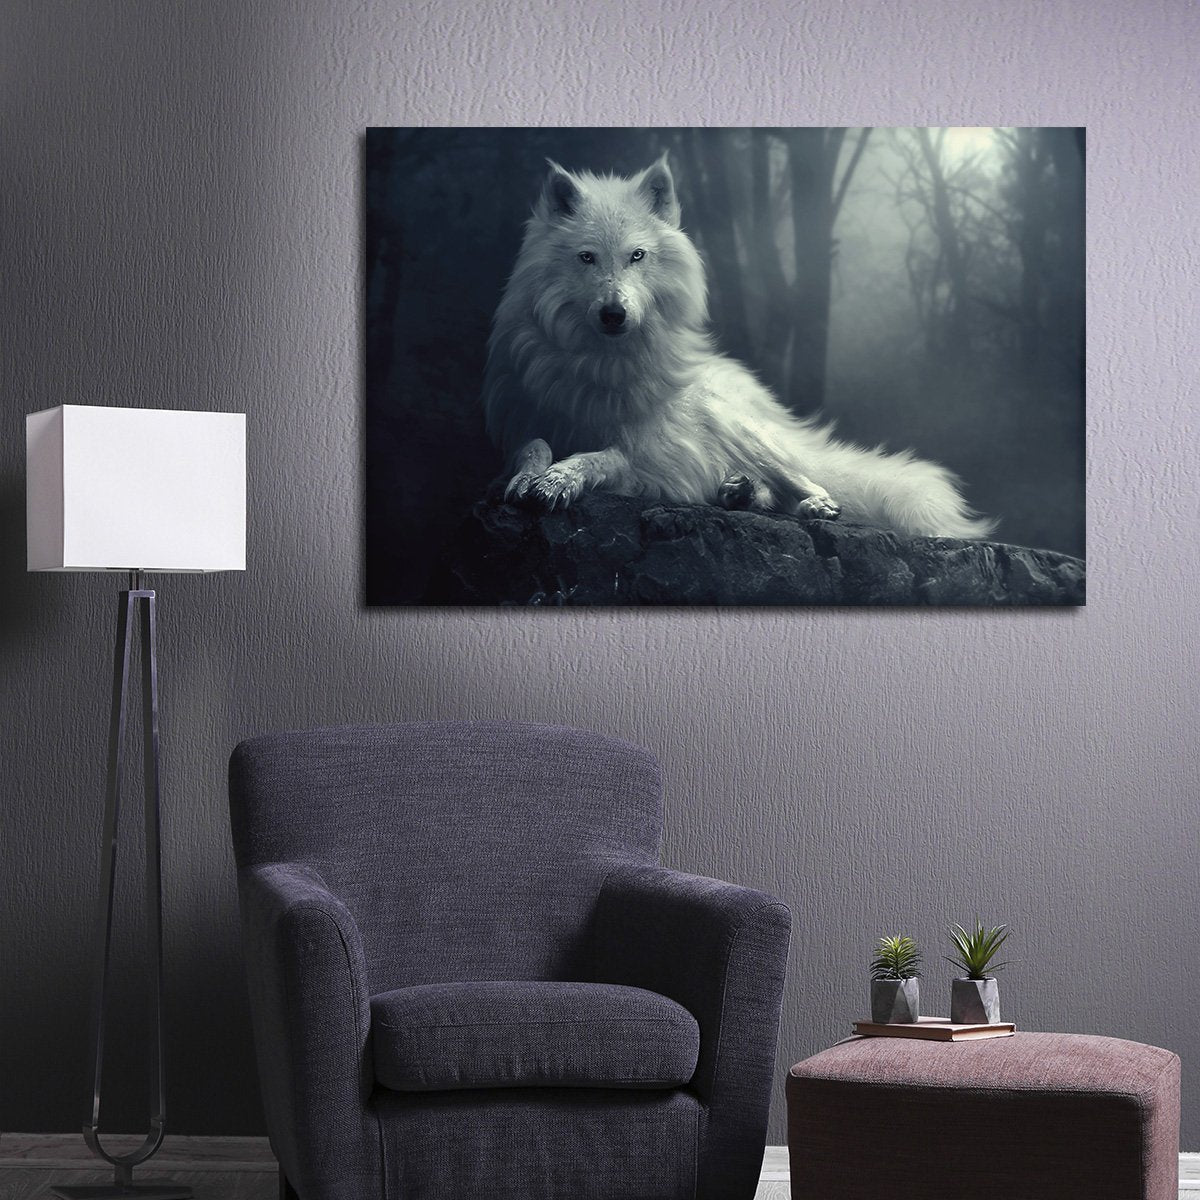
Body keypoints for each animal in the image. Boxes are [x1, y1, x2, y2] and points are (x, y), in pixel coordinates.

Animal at [483, 154, 994, 539]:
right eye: (587, 257)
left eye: (637, 256)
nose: (614, 314)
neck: (602, 363)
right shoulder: (523, 421)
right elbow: (533, 446)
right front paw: (529, 477)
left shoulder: (650, 455)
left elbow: (599, 457)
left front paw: (559, 479)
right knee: (764, 491)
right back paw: (738, 491)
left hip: (744, 431)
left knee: (811, 483)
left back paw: (810, 505)